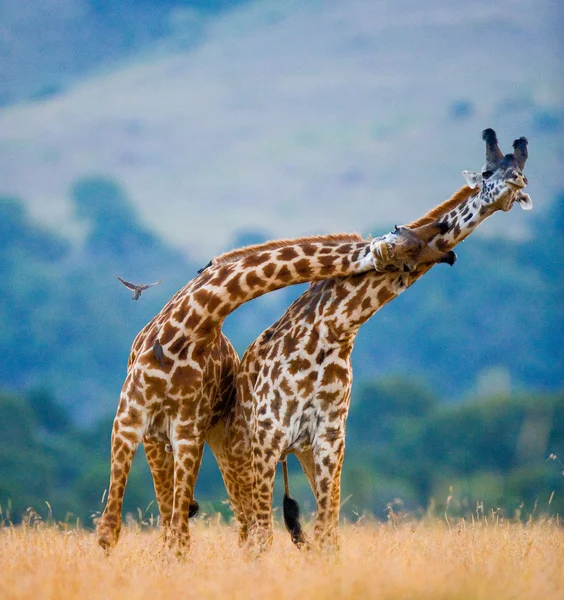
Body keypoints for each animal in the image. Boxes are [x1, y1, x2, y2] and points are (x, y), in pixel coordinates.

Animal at [93, 227, 454, 556]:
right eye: (406, 246)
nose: (447, 254)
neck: (193, 325)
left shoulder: (186, 432)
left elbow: (176, 533)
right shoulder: (127, 420)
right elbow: (109, 528)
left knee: (230, 523)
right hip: (167, 442)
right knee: (179, 517)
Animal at [206, 129, 528, 556]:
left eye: (522, 167)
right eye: (488, 171)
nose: (516, 183)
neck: (335, 329)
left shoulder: (329, 439)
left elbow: (328, 535)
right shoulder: (267, 438)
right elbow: (263, 536)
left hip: (293, 454)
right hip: (239, 455)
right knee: (247, 531)